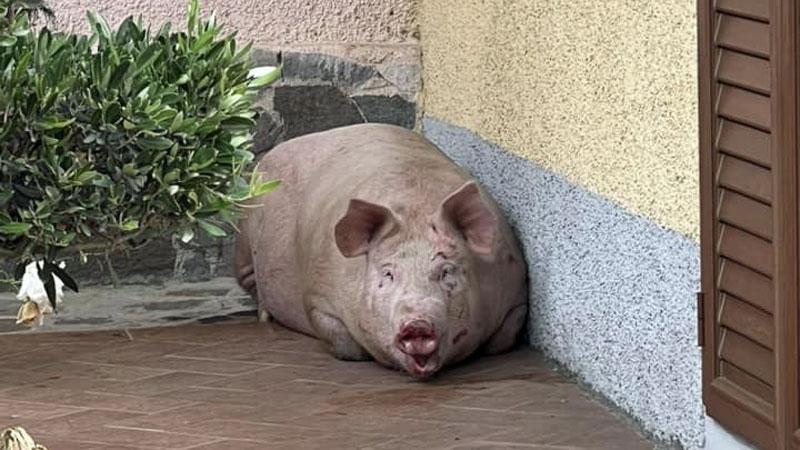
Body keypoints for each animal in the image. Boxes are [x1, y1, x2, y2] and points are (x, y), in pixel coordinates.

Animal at [235, 123, 527, 378]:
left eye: (446, 272)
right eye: (388, 274)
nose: (417, 323)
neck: (415, 206)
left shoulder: (517, 293)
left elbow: (504, 338)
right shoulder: (317, 297)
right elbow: (345, 345)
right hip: (245, 237)